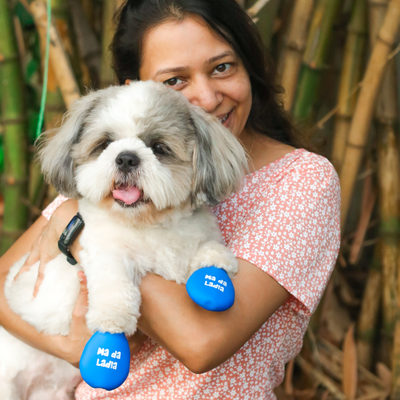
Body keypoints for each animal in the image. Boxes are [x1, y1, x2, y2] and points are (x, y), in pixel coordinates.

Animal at [0, 79, 247, 398]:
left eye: (159, 147)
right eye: (104, 144)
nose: (126, 157)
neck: (149, 224)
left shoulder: (199, 235)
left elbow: (209, 249)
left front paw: (214, 271)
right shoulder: (104, 251)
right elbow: (115, 290)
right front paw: (111, 328)